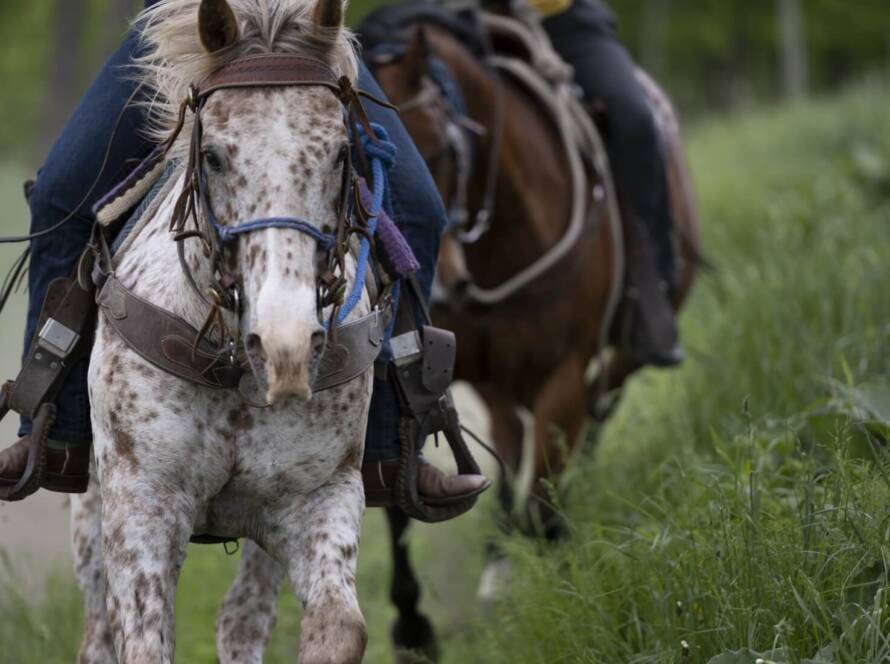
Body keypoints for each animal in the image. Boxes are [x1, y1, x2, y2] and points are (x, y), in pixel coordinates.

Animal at [364, 13, 696, 660]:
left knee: (593, 411)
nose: (442, 283)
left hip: (625, 350)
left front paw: (557, 584)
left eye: (442, 151)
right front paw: (414, 627)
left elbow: (543, 483)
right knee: (512, 443)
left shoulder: (565, 372)